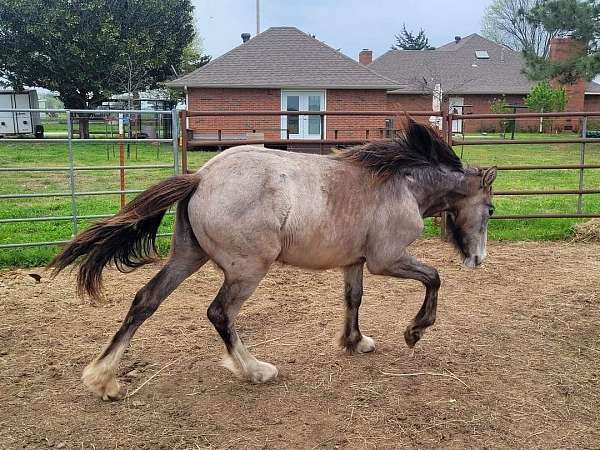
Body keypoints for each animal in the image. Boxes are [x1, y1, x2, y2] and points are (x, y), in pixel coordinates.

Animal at [49, 118, 496, 400]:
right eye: (491, 210)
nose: (477, 259)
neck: (400, 185)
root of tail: (200, 178)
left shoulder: (354, 262)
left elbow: (354, 299)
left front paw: (355, 342)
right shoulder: (387, 259)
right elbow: (433, 277)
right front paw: (414, 331)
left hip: (188, 257)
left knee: (145, 300)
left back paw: (103, 380)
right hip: (247, 269)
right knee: (219, 313)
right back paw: (255, 370)